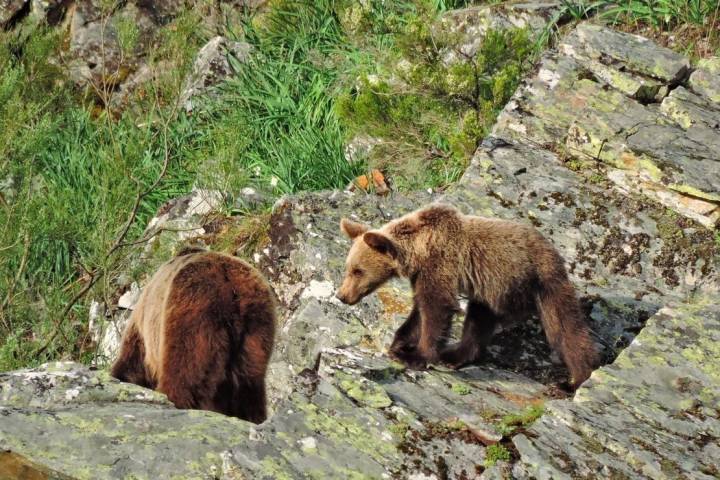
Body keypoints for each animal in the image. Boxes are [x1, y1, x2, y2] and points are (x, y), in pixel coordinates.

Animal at [334, 202, 600, 386]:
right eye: (348, 268)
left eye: (357, 270)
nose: (341, 295)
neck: (418, 249)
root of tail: (555, 252)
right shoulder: (423, 274)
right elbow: (419, 310)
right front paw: (399, 345)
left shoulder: (440, 264)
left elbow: (435, 308)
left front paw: (417, 356)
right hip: (492, 291)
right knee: (479, 320)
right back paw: (455, 355)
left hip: (542, 281)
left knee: (564, 328)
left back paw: (577, 378)